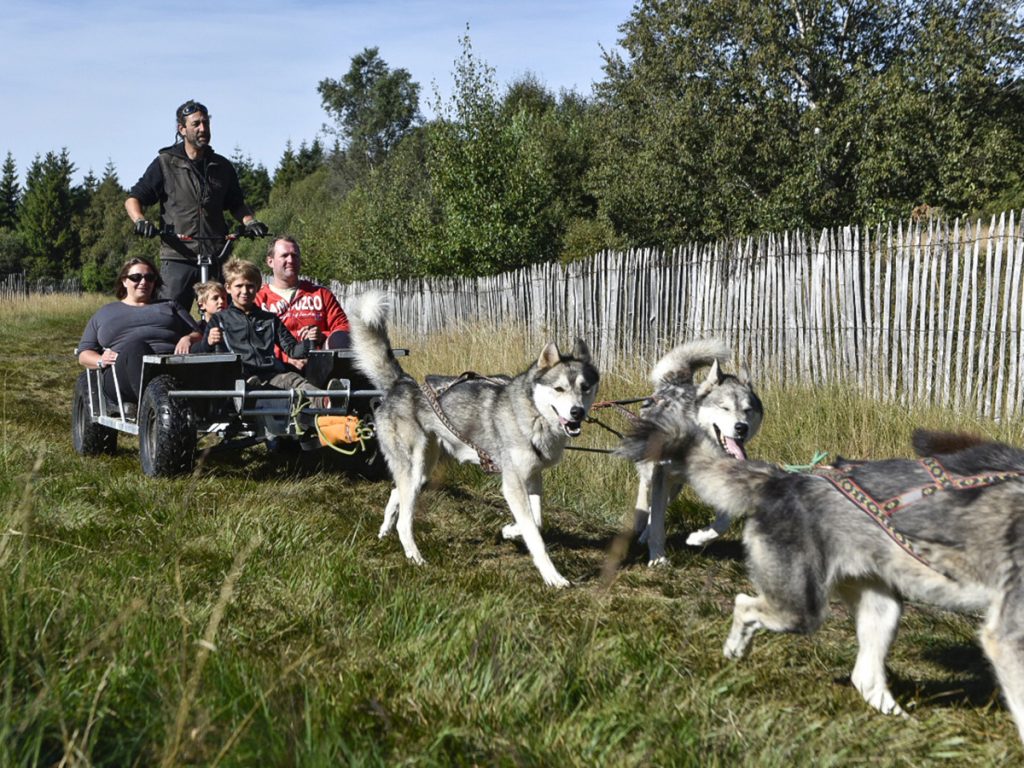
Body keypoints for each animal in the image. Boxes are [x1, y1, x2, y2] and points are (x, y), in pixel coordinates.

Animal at [350, 292, 598, 589]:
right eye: (559, 388)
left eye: (585, 388)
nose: (577, 412)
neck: (532, 416)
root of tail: (402, 382)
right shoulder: (513, 483)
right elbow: (535, 535)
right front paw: (552, 576)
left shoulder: (533, 477)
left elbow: (535, 520)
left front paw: (509, 530)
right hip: (415, 465)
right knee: (405, 522)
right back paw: (415, 558)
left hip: (421, 470)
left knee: (396, 492)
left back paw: (385, 531)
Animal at [614, 417, 1024, 741]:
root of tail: (781, 480)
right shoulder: (1005, 638)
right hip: (801, 609)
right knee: (744, 604)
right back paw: (734, 650)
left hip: (884, 608)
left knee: (865, 678)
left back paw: (904, 726)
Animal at [630, 342, 761, 565]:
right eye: (724, 408)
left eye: (748, 410)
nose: (741, 428)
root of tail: (674, 383)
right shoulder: (661, 473)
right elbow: (657, 523)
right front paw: (657, 558)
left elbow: (724, 521)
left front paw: (698, 537)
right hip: (655, 472)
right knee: (646, 494)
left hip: (675, 486)